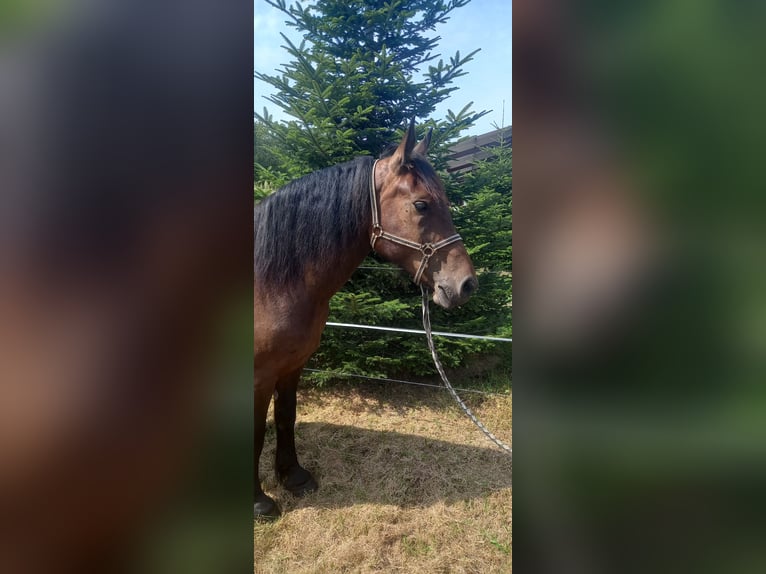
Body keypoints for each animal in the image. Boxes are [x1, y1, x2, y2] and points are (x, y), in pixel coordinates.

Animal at [255, 124, 476, 520]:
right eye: (421, 204)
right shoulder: (258, 375)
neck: (271, 281)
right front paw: (258, 501)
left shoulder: (291, 366)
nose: (467, 284)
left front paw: (293, 477)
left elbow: (285, 416)